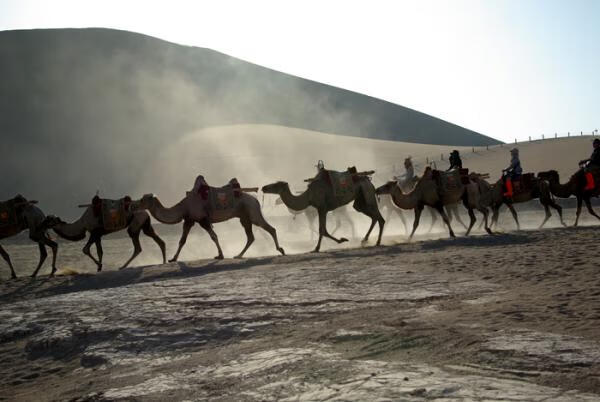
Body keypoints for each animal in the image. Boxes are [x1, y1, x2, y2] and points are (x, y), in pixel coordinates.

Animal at [136, 188, 286, 260]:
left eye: (143, 200)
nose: (134, 204)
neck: (183, 206)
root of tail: (256, 200)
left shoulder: (203, 220)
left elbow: (213, 236)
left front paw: (220, 255)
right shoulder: (189, 220)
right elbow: (182, 240)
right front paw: (173, 259)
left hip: (252, 212)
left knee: (270, 228)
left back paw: (281, 250)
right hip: (244, 216)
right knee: (251, 237)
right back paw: (238, 255)